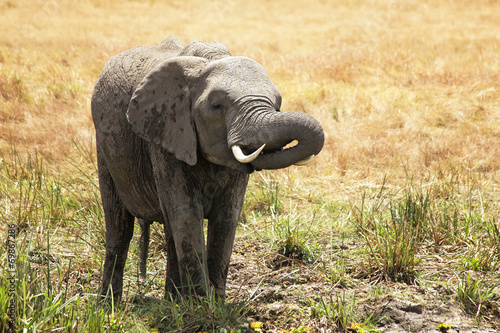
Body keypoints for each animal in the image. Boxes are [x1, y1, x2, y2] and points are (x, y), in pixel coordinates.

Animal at [91, 36, 324, 300]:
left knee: (169, 230)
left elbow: (227, 214)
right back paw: (109, 304)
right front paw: (202, 303)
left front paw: (215, 301)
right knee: (119, 227)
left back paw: (173, 301)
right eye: (217, 105)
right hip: (104, 147)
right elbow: (186, 211)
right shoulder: (165, 134)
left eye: (278, 102)